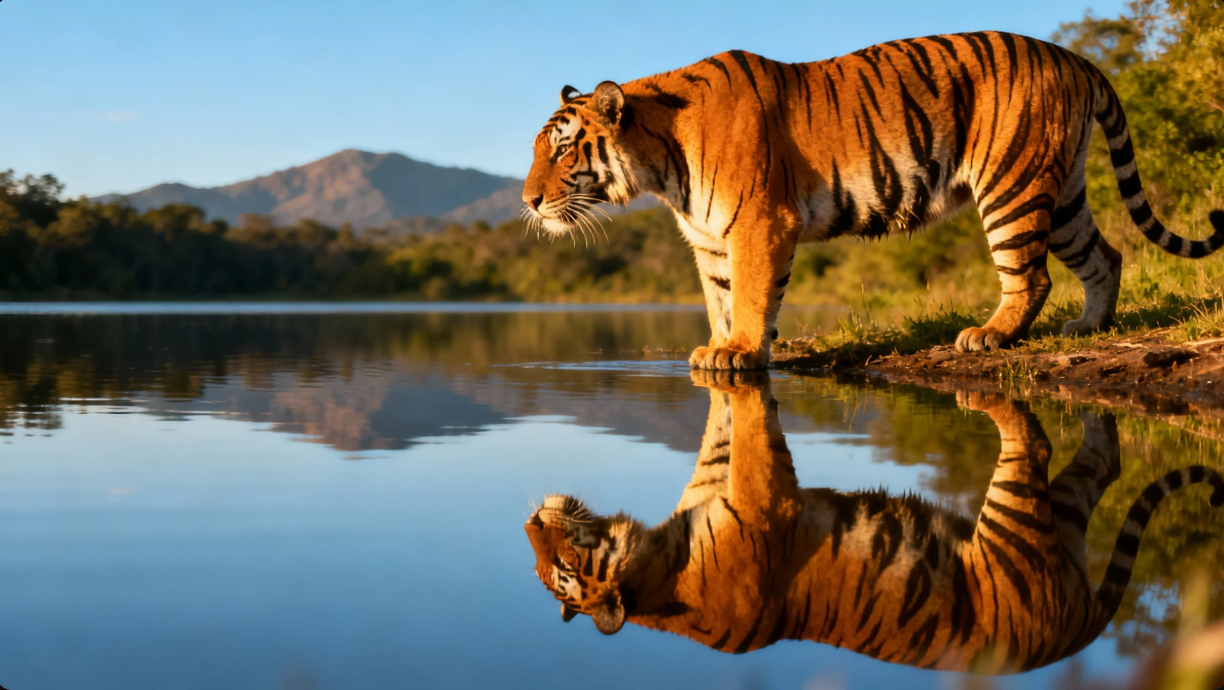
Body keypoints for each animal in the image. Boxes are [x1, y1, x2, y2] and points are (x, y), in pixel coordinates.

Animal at [521, 31, 1224, 369]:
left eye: (561, 150)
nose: (527, 201)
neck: (660, 164)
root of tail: (1075, 57)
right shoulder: (712, 238)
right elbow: (721, 298)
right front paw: (719, 350)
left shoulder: (760, 223)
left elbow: (749, 296)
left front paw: (740, 353)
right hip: (1065, 190)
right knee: (1105, 256)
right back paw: (1090, 327)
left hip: (1013, 184)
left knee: (1032, 276)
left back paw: (990, 336)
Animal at [524, 372, 1224, 673]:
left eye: (559, 566)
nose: (529, 519)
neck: (657, 565)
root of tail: (1073, 641)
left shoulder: (746, 491)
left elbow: (737, 424)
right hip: (1027, 524)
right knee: (1084, 457)